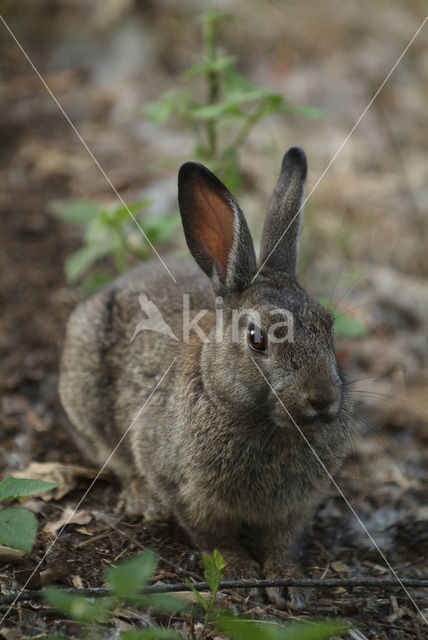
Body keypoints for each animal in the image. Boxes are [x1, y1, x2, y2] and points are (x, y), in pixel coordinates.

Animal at [59, 148, 352, 608]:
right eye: (256, 339)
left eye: (328, 325)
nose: (322, 399)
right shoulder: (182, 488)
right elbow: (214, 538)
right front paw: (239, 572)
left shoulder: (297, 506)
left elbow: (284, 540)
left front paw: (288, 581)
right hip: (85, 396)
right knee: (114, 457)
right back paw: (142, 499)